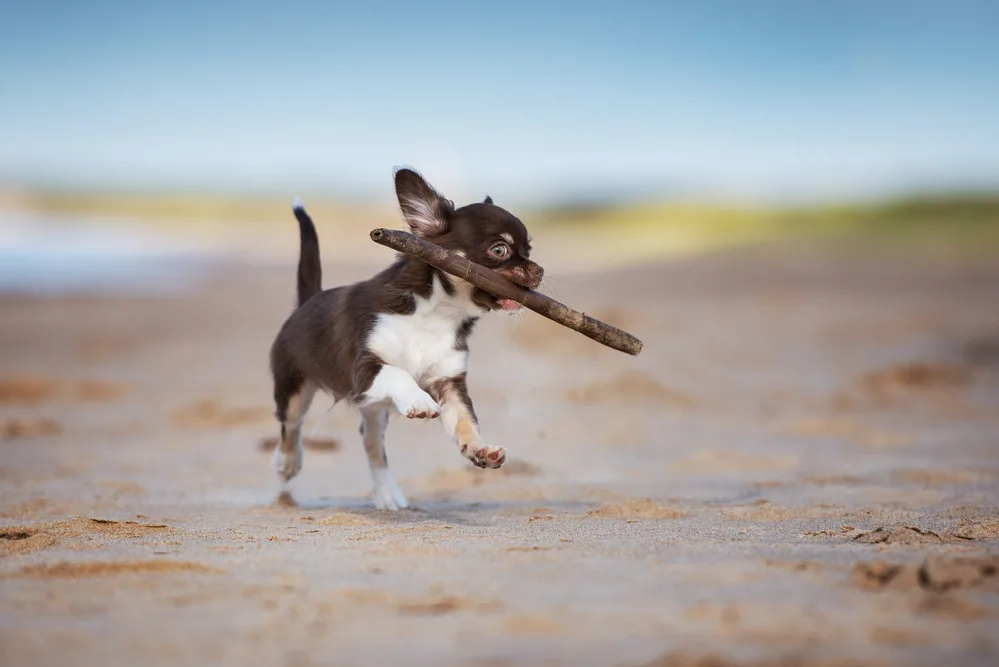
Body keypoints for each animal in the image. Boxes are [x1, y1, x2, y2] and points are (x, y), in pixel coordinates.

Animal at [270, 168, 544, 512]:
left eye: (529, 250)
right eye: (499, 250)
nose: (538, 270)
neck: (438, 313)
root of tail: (307, 300)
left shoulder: (448, 382)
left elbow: (465, 421)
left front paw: (478, 449)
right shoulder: (364, 370)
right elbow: (398, 373)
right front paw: (418, 400)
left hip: (374, 409)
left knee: (372, 443)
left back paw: (387, 493)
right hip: (294, 388)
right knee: (290, 428)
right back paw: (287, 463)